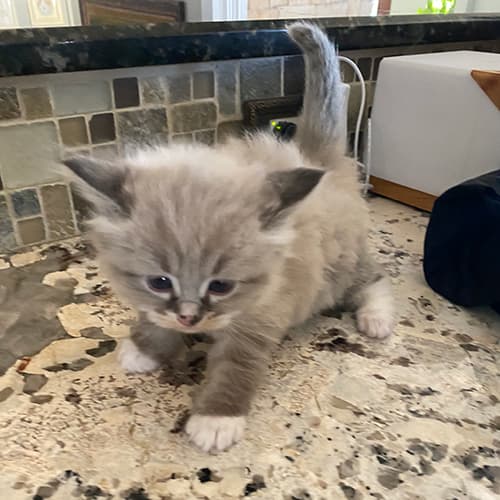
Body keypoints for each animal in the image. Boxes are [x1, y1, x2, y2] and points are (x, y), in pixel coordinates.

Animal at [63, 22, 394, 454]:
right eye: (160, 281)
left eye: (220, 286)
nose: (189, 318)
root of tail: (318, 160)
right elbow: (153, 318)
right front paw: (145, 348)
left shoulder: (259, 319)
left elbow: (235, 368)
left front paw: (216, 420)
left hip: (343, 265)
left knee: (373, 279)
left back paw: (376, 319)